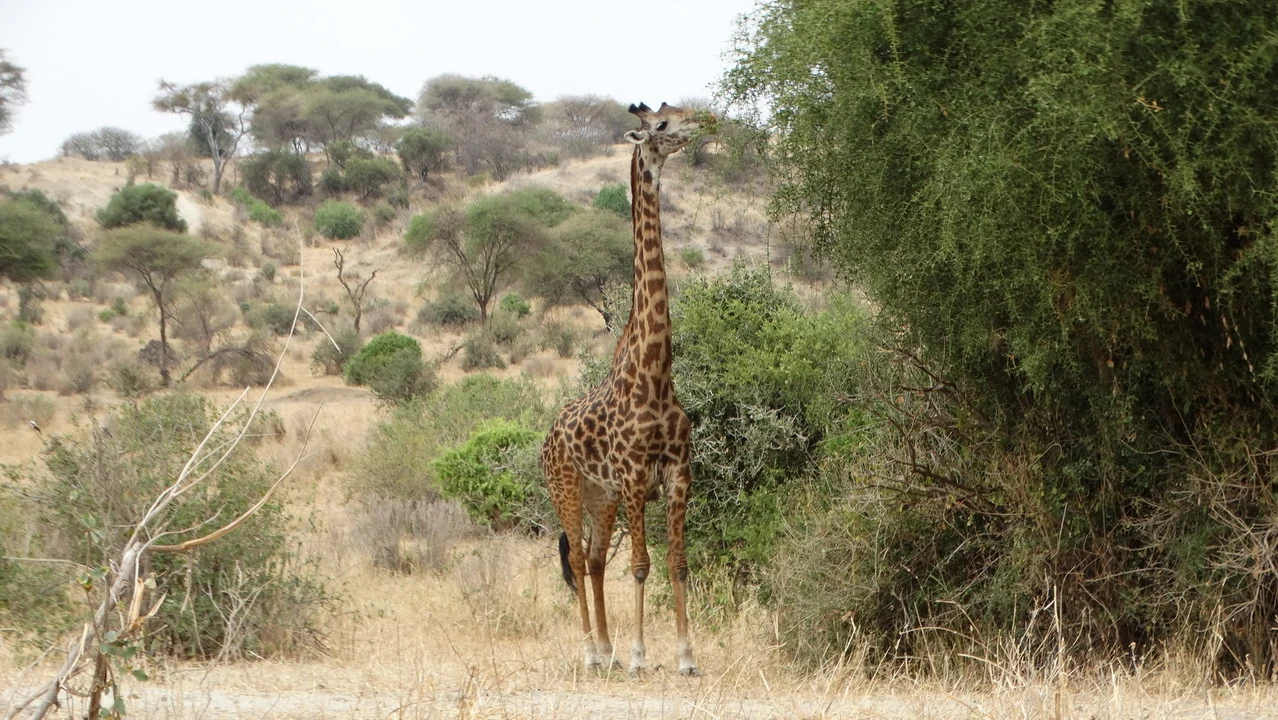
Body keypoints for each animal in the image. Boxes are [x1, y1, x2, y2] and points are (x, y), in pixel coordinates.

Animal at [541, 102, 713, 676]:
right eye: (661, 125)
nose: (703, 123)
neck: (655, 372)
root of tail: (547, 437)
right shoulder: (638, 478)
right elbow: (640, 564)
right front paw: (642, 656)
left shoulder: (678, 475)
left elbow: (678, 563)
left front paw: (685, 657)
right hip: (567, 489)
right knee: (576, 559)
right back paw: (594, 653)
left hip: (602, 497)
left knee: (594, 560)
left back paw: (608, 649)